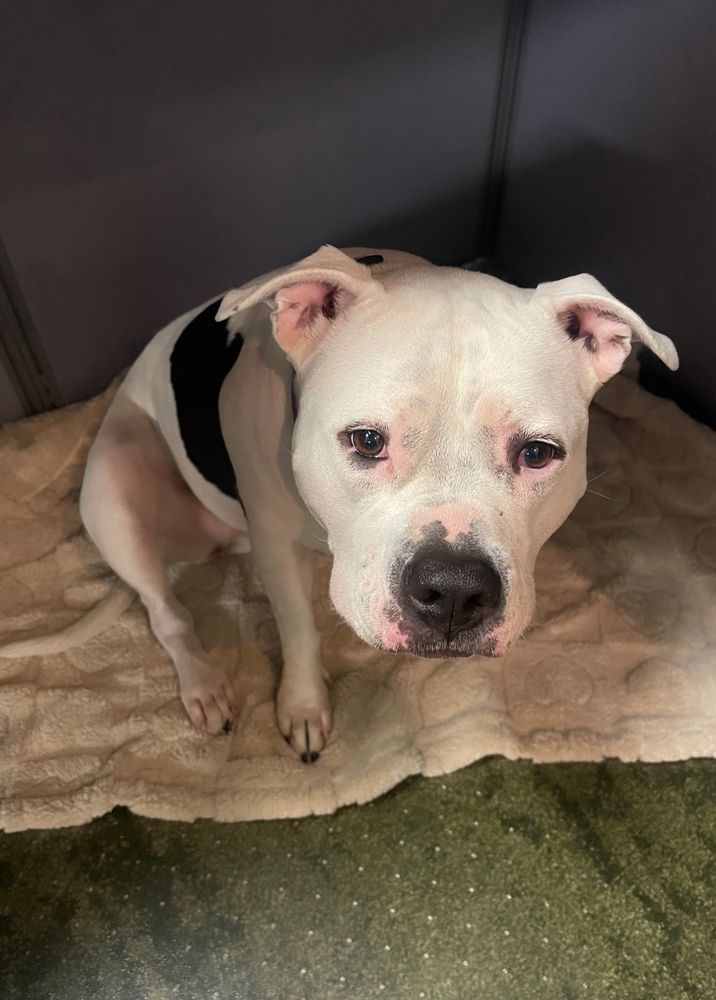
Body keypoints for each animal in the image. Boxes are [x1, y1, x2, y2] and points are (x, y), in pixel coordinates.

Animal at [0, 246, 678, 762]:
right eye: (367, 441)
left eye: (538, 453)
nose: (454, 591)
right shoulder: (274, 546)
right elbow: (297, 626)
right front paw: (303, 706)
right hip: (114, 483)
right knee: (166, 612)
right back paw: (203, 685)